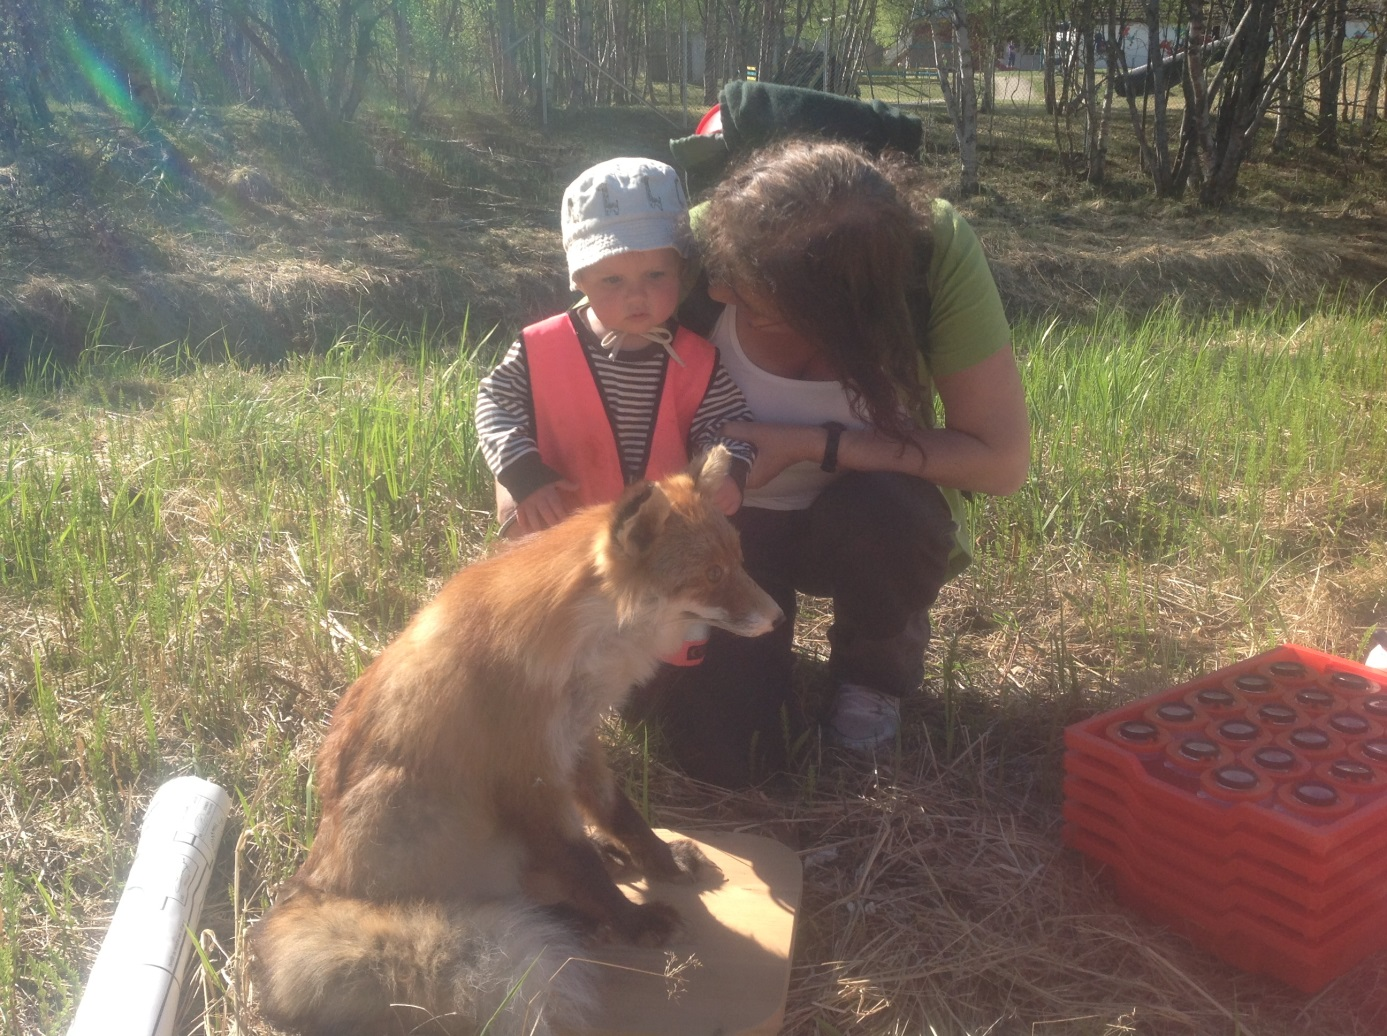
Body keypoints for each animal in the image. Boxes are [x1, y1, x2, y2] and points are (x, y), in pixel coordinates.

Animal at [252, 446, 782, 1036]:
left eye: (738, 559)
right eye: (711, 574)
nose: (778, 618)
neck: (583, 646)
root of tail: (312, 888)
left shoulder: (577, 741)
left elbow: (621, 816)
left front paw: (659, 861)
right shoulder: (527, 772)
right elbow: (578, 863)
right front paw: (633, 920)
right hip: (420, 803)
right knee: (495, 901)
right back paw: (570, 918)